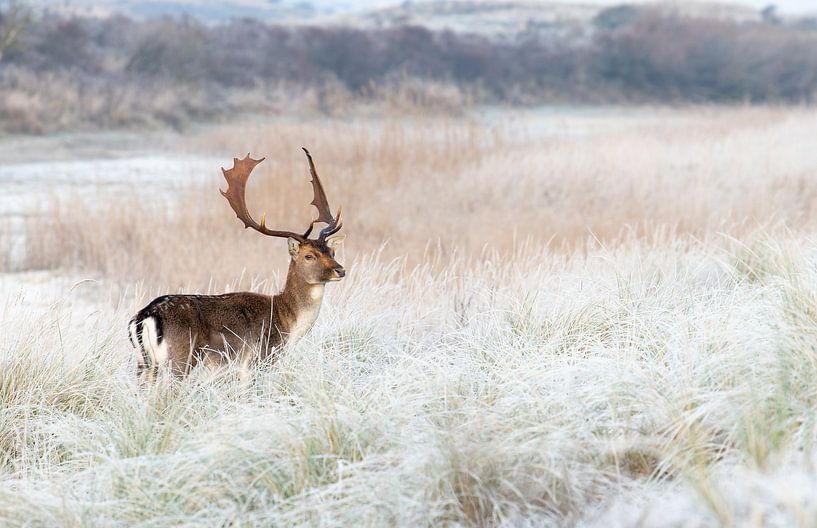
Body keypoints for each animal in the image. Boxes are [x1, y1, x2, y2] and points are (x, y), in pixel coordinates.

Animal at [128, 147, 344, 380]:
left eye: (331, 251)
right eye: (309, 256)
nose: (340, 270)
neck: (286, 320)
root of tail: (144, 317)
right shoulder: (257, 359)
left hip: (144, 365)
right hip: (181, 358)